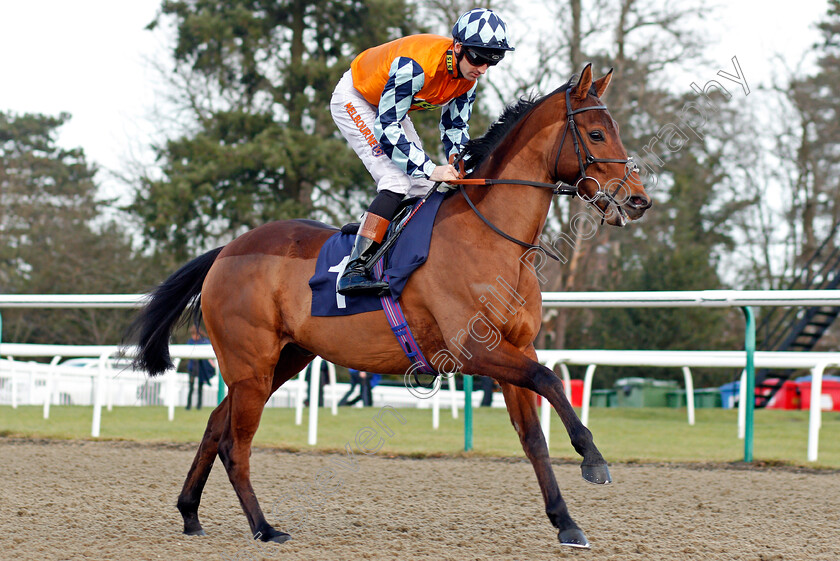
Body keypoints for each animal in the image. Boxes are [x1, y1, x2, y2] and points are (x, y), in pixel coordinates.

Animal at [131, 63, 652, 548]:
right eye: (597, 133)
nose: (638, 198)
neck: (492, 238)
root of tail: (226, 251)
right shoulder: (473, 350)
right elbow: (550, 382)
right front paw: (593, 459)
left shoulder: (517, 349)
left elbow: (533, 438)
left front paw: (566, 523)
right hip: (251, 364)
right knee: (235, 444)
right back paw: (264, 527)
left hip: (283, 360)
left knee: (215, 424)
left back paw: (190, 513)